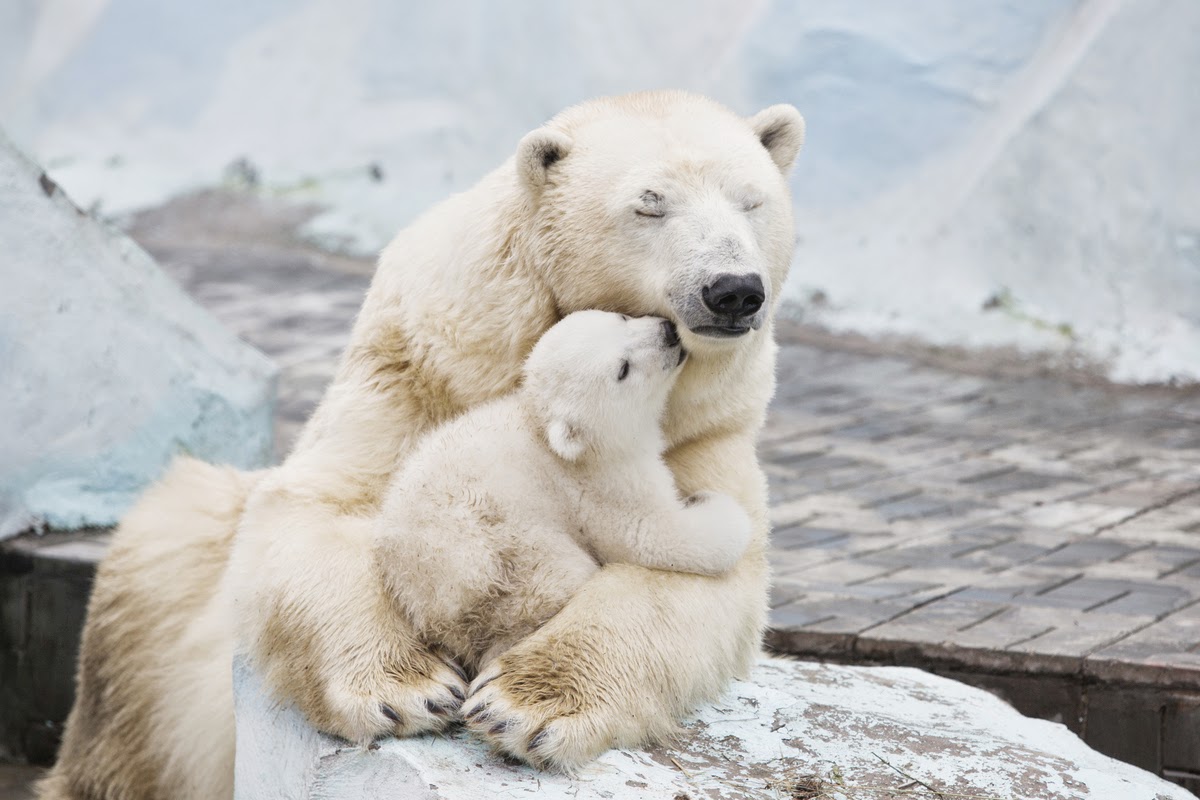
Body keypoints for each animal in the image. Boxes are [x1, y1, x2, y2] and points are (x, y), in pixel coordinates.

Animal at [37, 89, 806, 800]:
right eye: (649, 205)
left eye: (752, 202)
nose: (733, 290)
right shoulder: (418, 368)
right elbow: (329, 506)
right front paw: (407, 689)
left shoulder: (704, 426)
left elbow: (696, 572)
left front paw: (523, 704)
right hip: (160, 630)